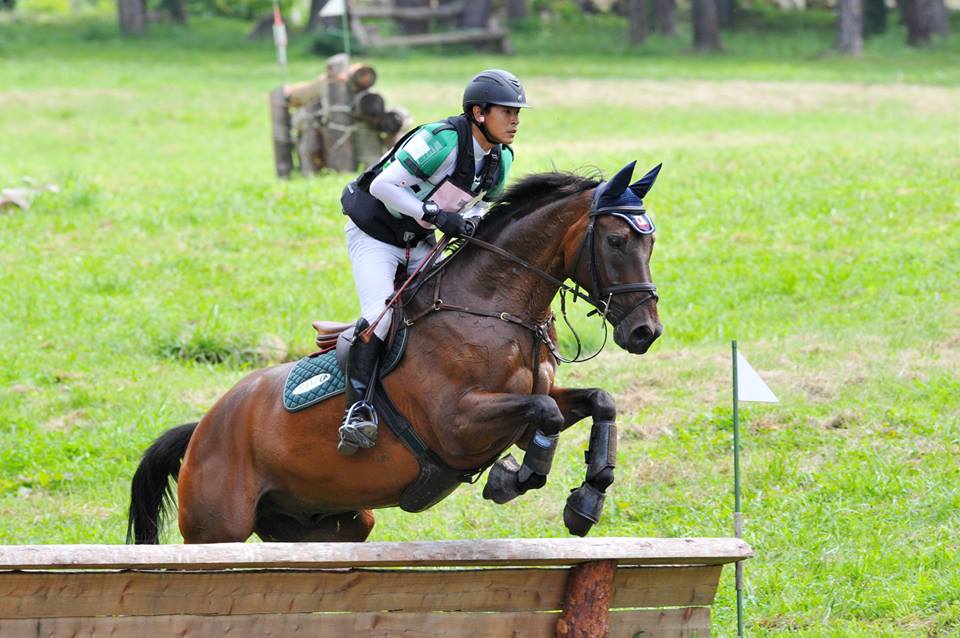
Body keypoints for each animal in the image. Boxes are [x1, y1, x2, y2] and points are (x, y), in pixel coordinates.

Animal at [127, 160, 663, 544]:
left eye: (650, 242)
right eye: (616, 240)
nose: (645, 332)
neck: (497, 307)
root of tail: (203, 428)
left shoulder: (535, 398)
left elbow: (597, 401)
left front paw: (587, 498)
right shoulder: (457, 424)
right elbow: (544, 412)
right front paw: (512, 477)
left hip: (328, 523)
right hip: (216, 529)